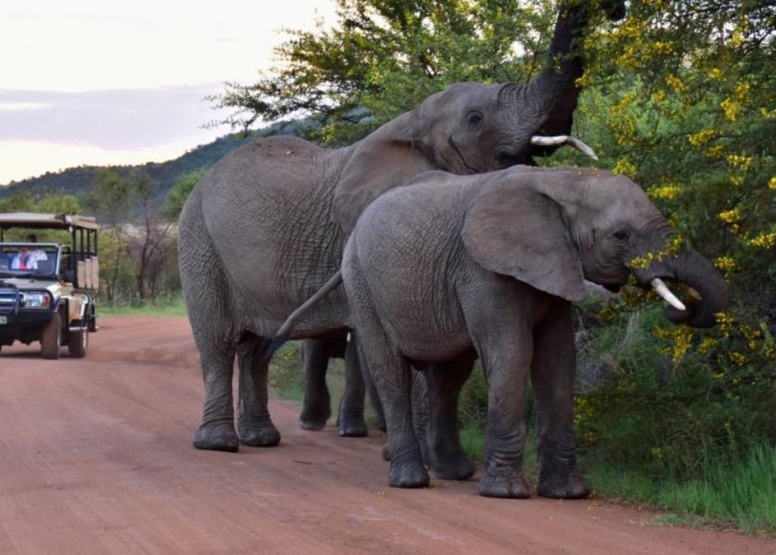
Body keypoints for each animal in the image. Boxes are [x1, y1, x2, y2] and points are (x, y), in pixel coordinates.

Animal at [177, 0, 624, 454]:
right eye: (476, 119)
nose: (617, 11)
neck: (410, 123)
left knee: (254, 347)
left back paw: (261, 439)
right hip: (198, 242)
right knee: (218, 343)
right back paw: (218, 444)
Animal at [270, 166, 732, 500]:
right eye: (621, 235)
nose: (684, 309)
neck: (560, 181)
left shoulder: (553, 266)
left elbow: (557, 362)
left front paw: (569, 493)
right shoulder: (483, 269)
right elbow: (512, 352)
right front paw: (507, 494)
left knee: (448, 376)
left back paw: (455, 473)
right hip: (362, 282)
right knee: (391, 370)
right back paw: (411, 481)